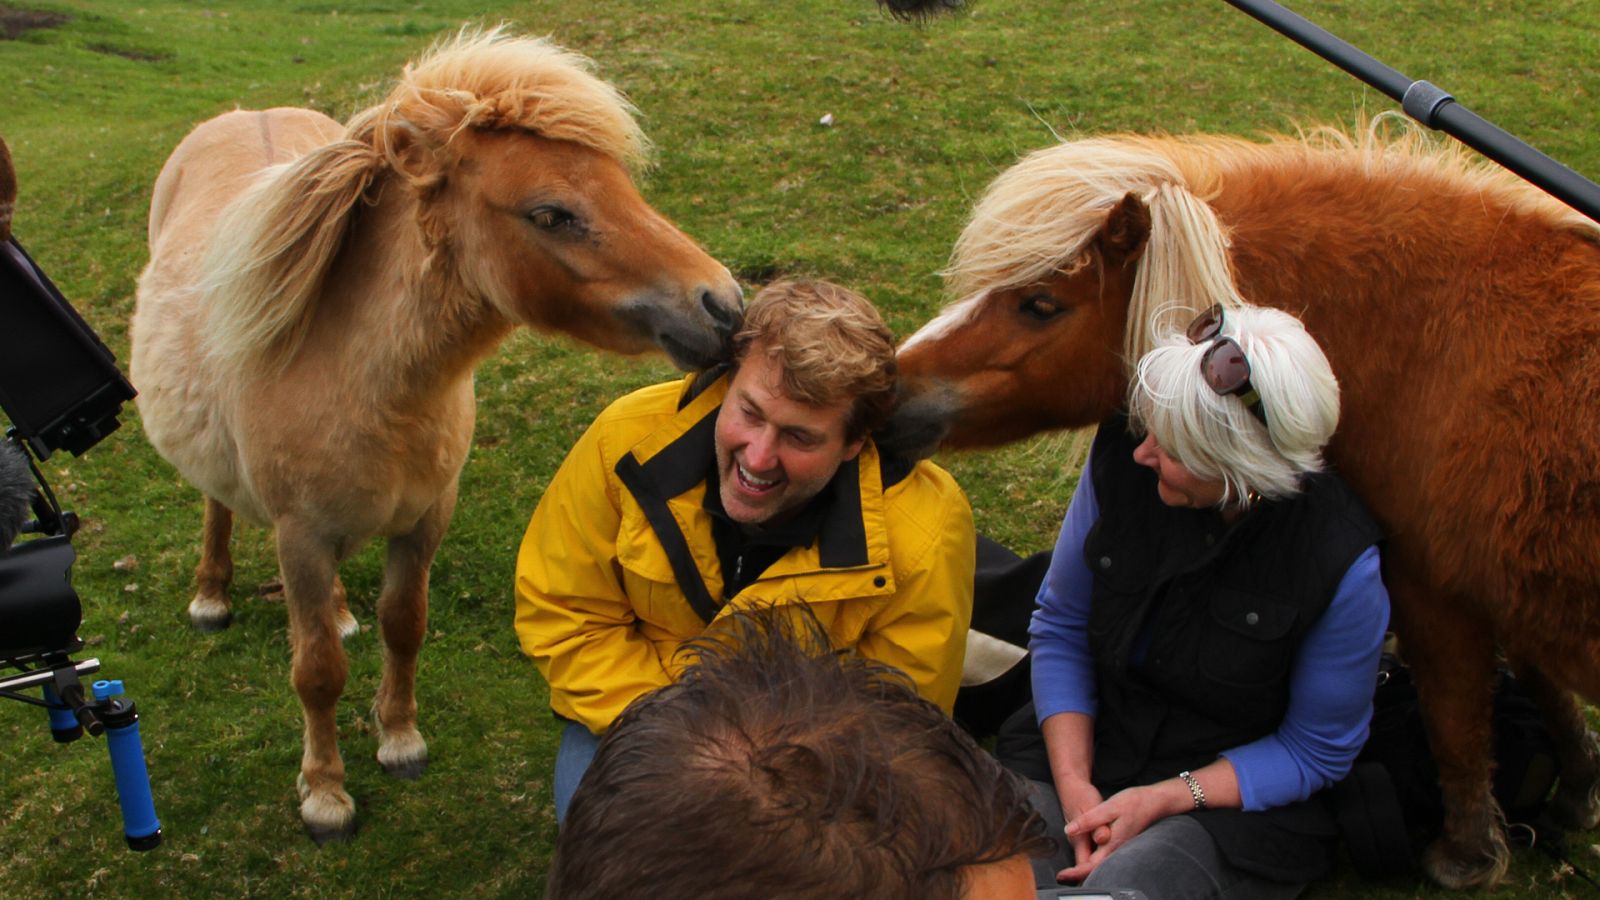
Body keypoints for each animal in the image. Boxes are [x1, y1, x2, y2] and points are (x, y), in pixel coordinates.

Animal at [131, 29, 742, 839]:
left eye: (623, 185)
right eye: (552, 213)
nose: (724, 305)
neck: (369, 386)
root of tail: (244, 114)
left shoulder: (425, 518)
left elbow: (404, 624)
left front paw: (399, 738)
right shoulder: (300, 537)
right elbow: (316, 673)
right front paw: (325, 793)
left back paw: (339, 611)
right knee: (215, 503)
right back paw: (211, 595)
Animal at [896, 126, 1600, 890]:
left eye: (1040, 304)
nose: (888, 386)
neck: (1427, 341)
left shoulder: (1432, 589)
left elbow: (1456, 717)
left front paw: (1466, 853)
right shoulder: (1503, 584)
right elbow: (1544, 685)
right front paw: (1577, 792)